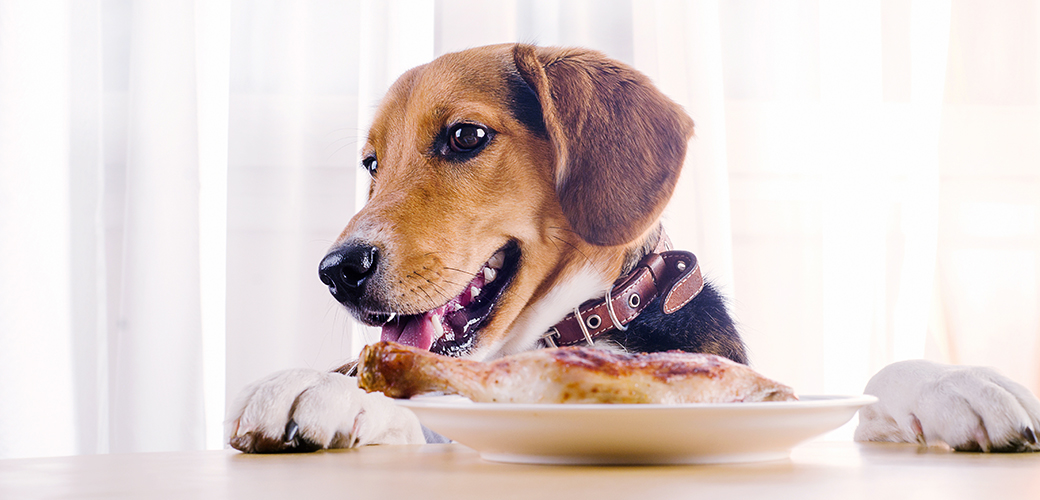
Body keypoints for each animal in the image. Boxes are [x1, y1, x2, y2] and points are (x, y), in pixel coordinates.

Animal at [227, 44, 1040, 453]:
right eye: (371, 164)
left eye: (464, 136)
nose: (336, 270)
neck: (583, 325)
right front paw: (326, 388)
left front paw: (957, 386)